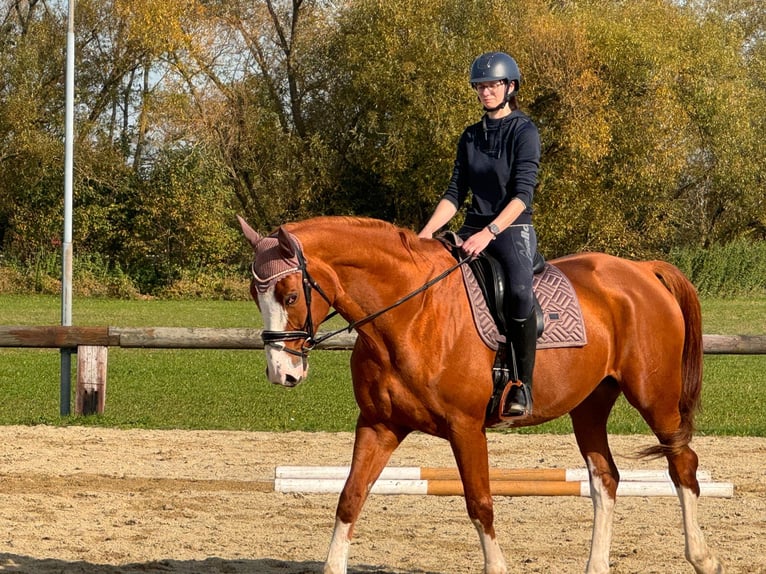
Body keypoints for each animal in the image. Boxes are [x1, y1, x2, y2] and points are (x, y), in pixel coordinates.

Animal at [237, 214, 724, 572]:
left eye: (289, 295)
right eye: (255, 296)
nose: (282, 373)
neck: (412, 315)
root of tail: (642, 271)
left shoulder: (466, 429)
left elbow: (480, 505)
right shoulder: (379, 425)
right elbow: (350, 499)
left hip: (655, 399)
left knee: (683, 464)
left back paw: (703, 558)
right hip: (589, 406)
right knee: (606, 479)